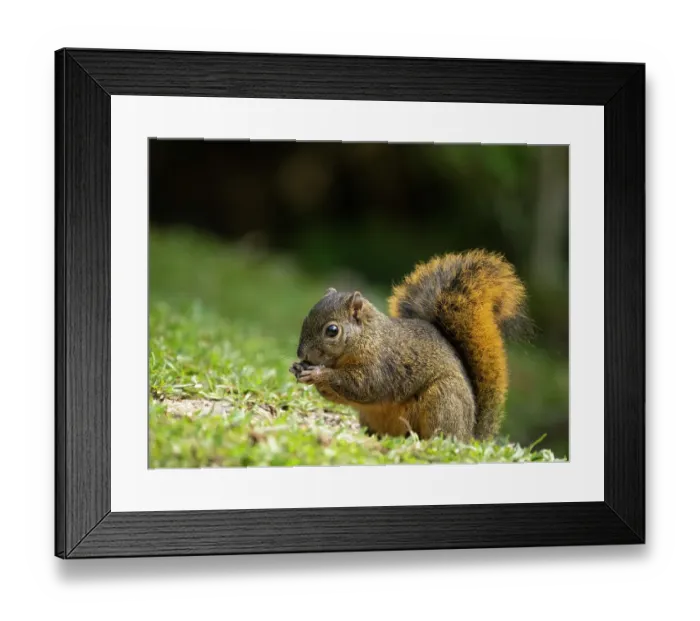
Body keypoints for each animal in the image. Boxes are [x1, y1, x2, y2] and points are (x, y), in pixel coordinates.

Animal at [289, 250, 529, 443]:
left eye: (332, 331)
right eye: (305, 319)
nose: (301, 353)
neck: (367, 337)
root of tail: (469, 435)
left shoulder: (383, 364)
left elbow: (364, 385)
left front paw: (319, 373)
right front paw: (298, 368)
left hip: (443, 399)